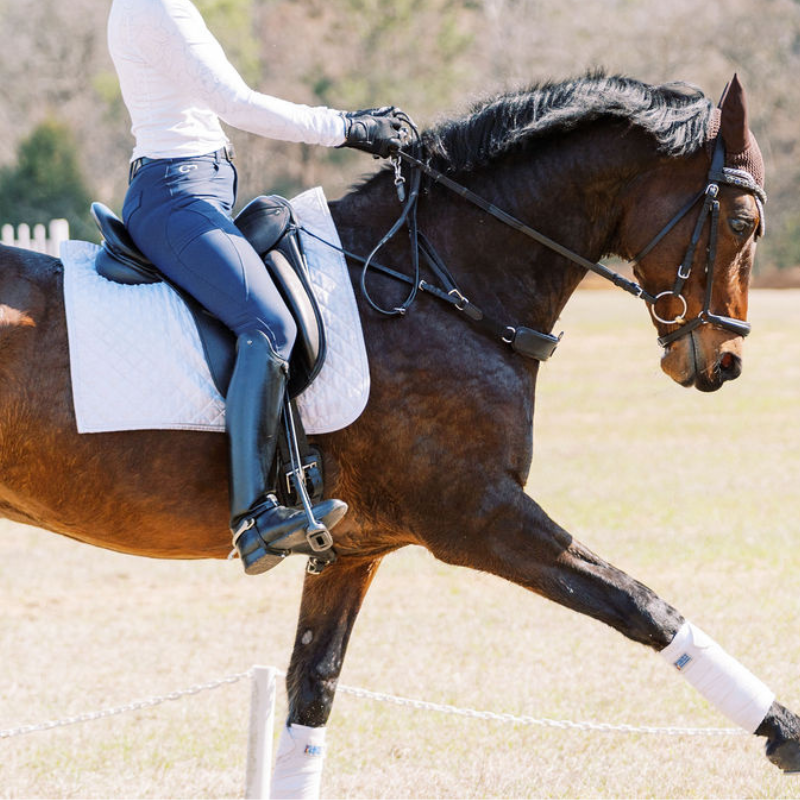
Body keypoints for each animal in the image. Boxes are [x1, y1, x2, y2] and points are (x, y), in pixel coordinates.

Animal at [1, 75, 800, 792]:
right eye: (741, 223)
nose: (723, 362)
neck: (439, 285)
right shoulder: (479, 517)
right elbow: (642, 605)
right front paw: (784, 731)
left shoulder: (350, 550)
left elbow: (312, 690)